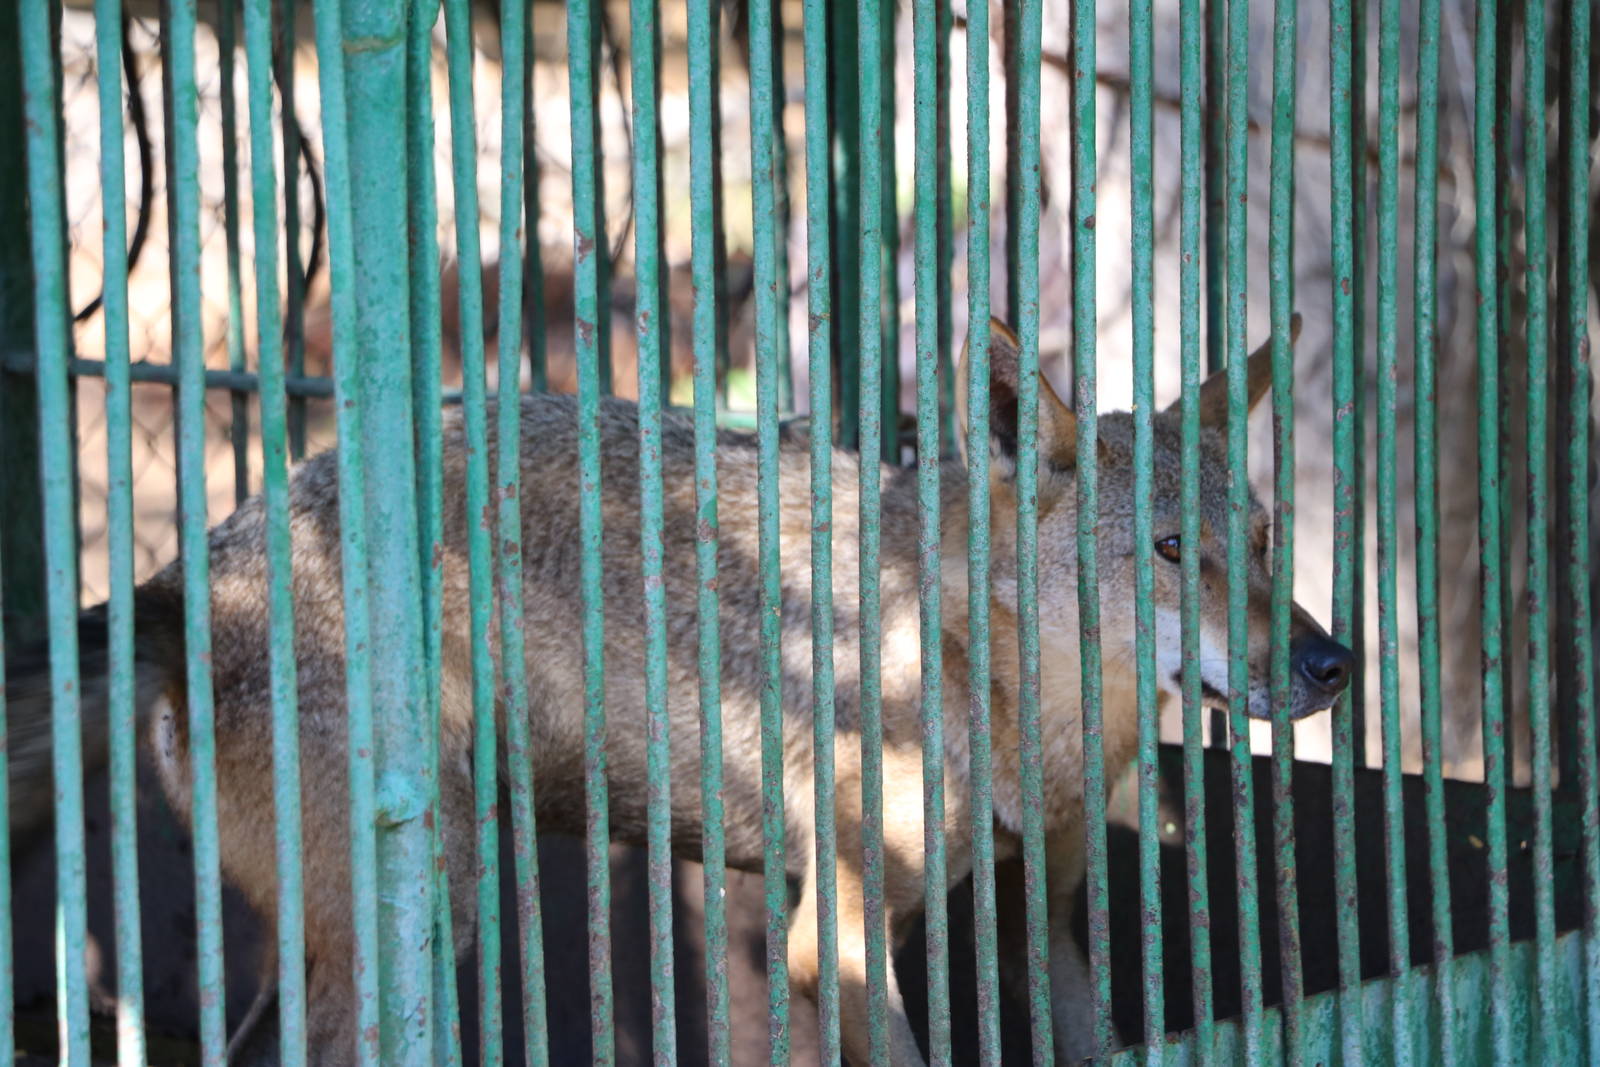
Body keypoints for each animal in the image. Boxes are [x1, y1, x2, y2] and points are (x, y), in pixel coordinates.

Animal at [7, 316, 1351, 1065]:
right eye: (1172, 551)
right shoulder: (831, 942)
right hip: (435, 897)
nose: (1330, 662)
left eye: (1265, 541)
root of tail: (188, 567)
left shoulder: (1042, 921)